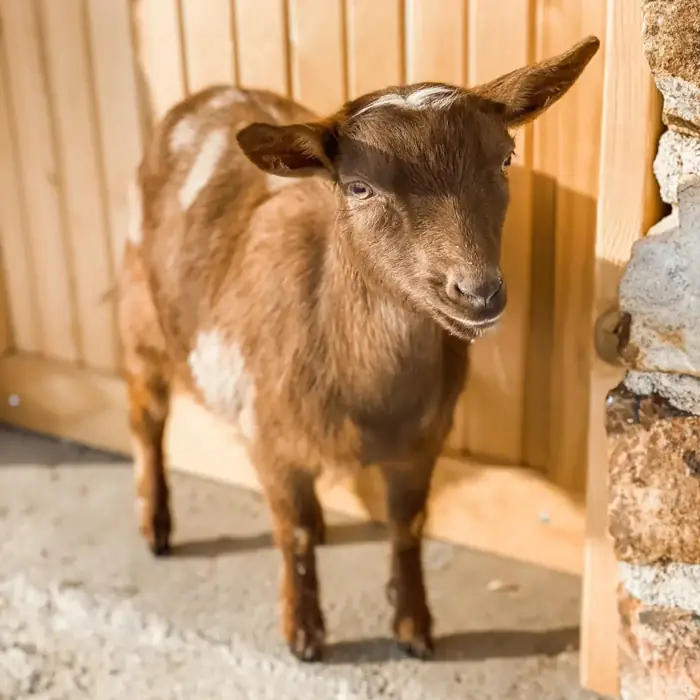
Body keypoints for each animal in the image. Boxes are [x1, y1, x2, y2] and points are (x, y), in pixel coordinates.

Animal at [118, 35, 600, 662]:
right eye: (359, 187)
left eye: (505, 159)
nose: (478, 292)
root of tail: (209, 93)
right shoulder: (266, 433)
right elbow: (291, 534)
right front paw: (303, 632)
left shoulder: (424, 440)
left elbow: (408, 525)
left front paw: (414, 625)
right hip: (139, 313)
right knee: (146, 417)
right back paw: (155, 526)